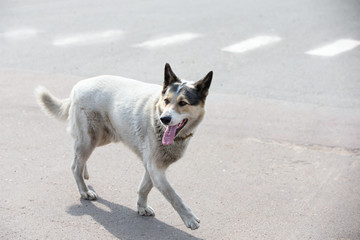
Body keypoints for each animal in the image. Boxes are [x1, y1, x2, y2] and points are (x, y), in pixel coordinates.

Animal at [35, 62, 212, 230]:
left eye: (183, 103)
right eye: (166, 101)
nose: (165, 119)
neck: (156, 115)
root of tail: (77, 87)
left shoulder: (153, 167)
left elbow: (144, 188)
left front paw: (141, 207)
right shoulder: (155, 168)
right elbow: (174, 196)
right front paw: (189, 219)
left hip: (101, 138)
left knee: (77, 155)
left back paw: (84, 174)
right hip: (91, 138)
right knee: (75, 165)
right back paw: (84, 190)